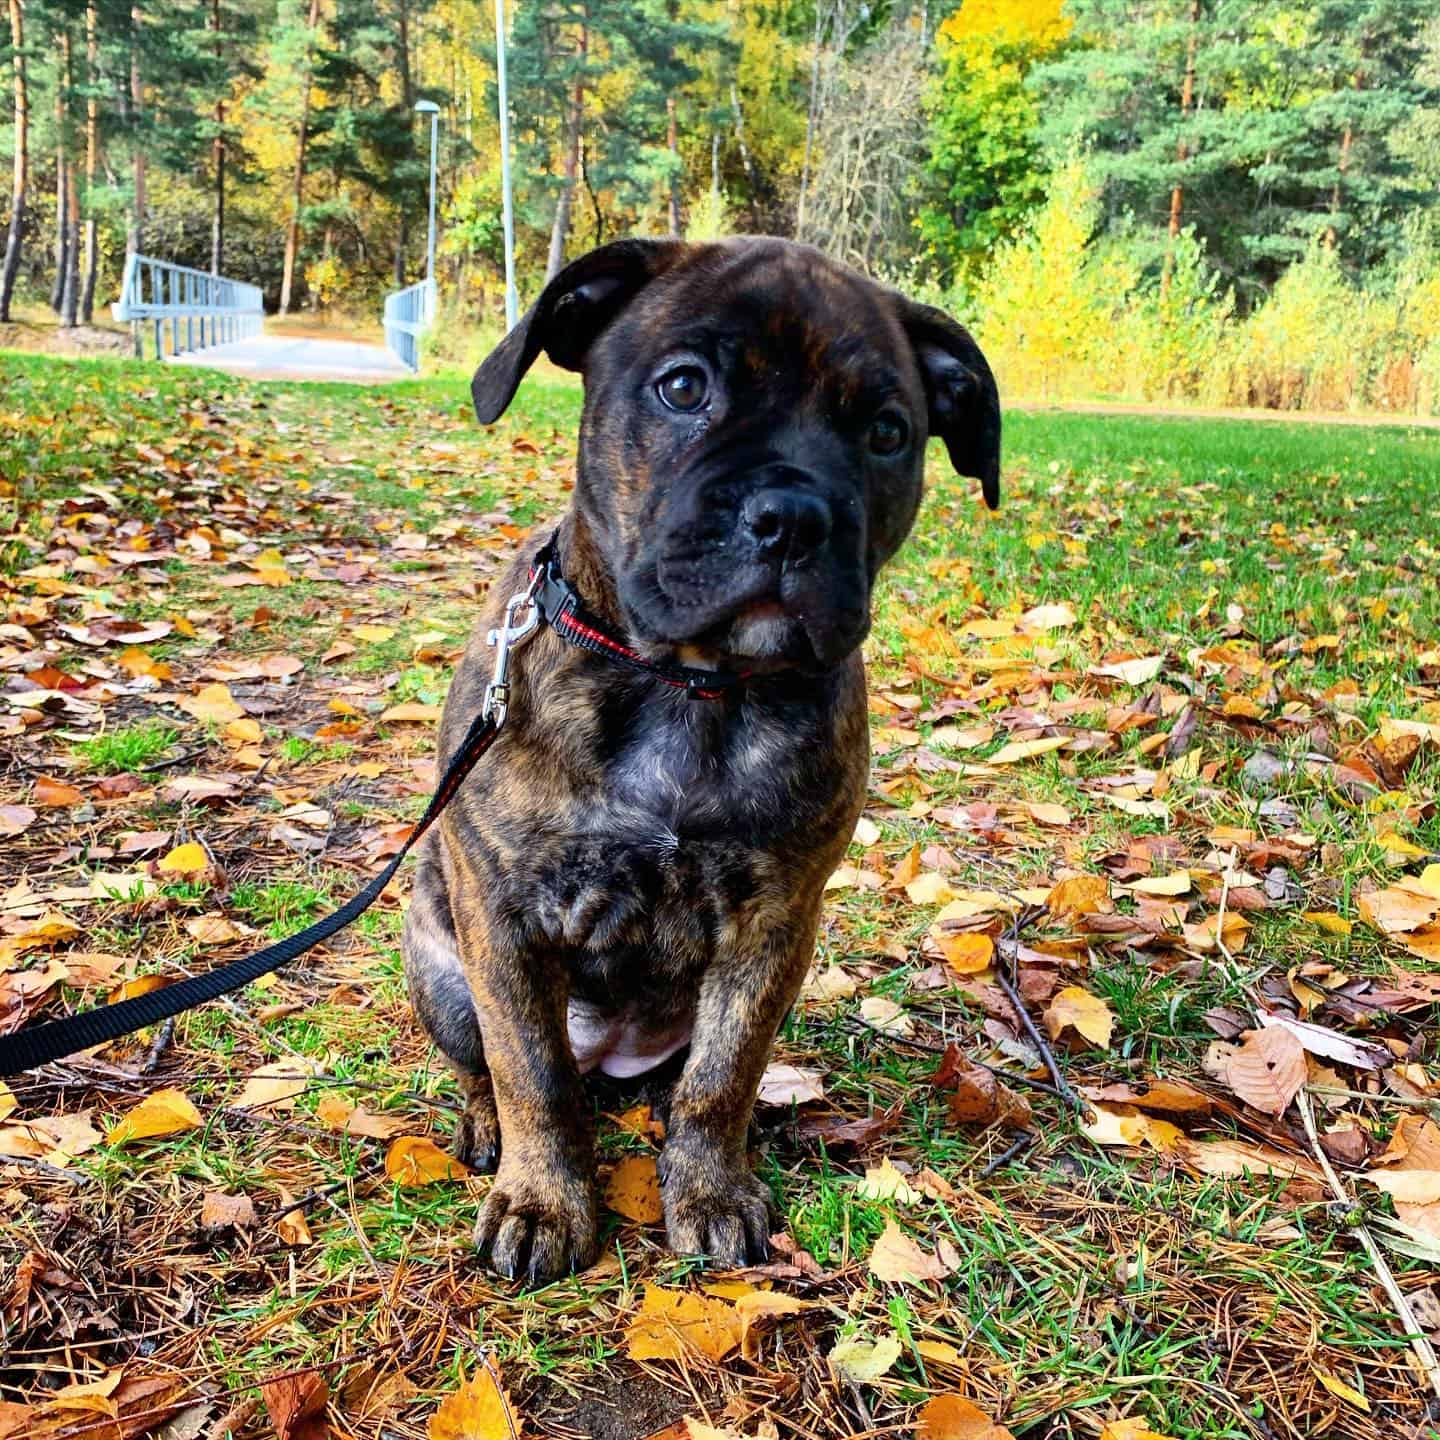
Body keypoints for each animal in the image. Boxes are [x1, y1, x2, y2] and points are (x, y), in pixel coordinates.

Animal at [400, 236, 996, 1284]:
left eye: (888, 432)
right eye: (683, 388)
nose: (792, 515)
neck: (689, 684)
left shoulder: (773, 924)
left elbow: (724, 1075)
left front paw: (710, 1190)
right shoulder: (504, 916)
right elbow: (531, 1074)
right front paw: (542, 1201)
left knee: (681, 1082)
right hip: (438, 961)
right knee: (494, 1067)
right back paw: (486, 1127)